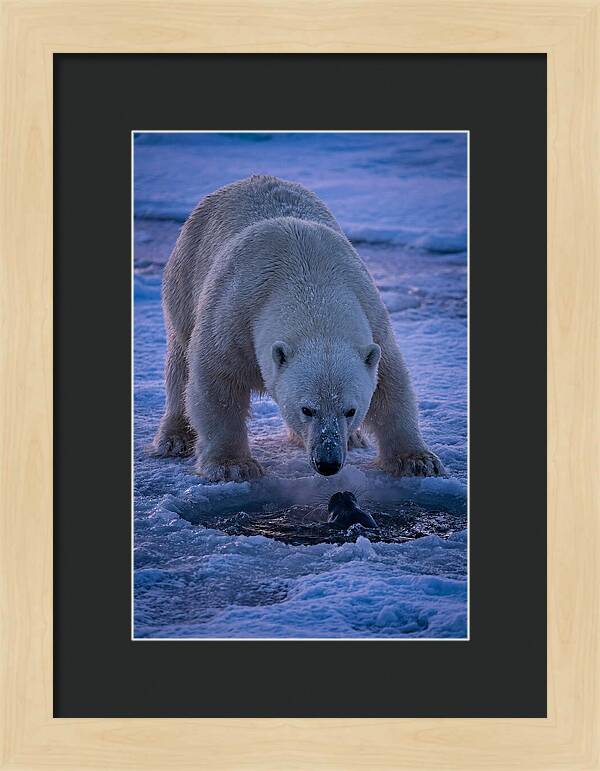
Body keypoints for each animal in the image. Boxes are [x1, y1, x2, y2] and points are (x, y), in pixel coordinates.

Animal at [152, 175, 444, 483]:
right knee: (180, 361)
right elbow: (217, 384)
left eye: (350, 410)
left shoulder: (373, 317)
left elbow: (390, 384)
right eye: (307, 409)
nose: (328, 462)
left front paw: (419, 461)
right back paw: (174, 438)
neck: (309, 279)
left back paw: (354, 439)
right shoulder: (233, 316)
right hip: (185, 276)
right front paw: (233, 465)